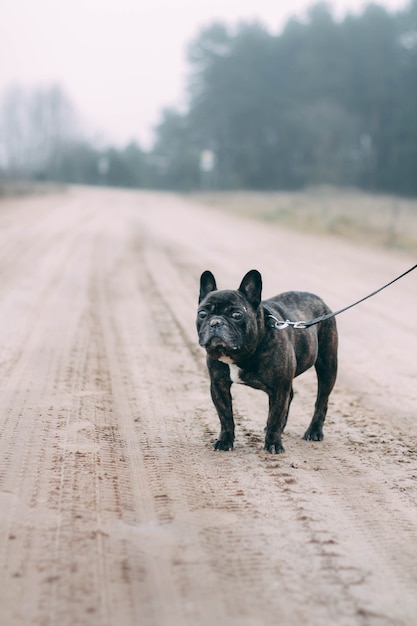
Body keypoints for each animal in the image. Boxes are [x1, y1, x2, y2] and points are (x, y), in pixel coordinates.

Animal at [196, 270, 338, 450]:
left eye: (236, 315)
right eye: (202, 314)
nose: (215, 322)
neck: (243, 353)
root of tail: (320, 301)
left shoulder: (279, 388)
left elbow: (274, 417)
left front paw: (273, 444)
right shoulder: (219, 385)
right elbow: (225, 416)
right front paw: (225, 441)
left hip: (327, 366)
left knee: (321, 401)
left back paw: (314, 431)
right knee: (291, 396)